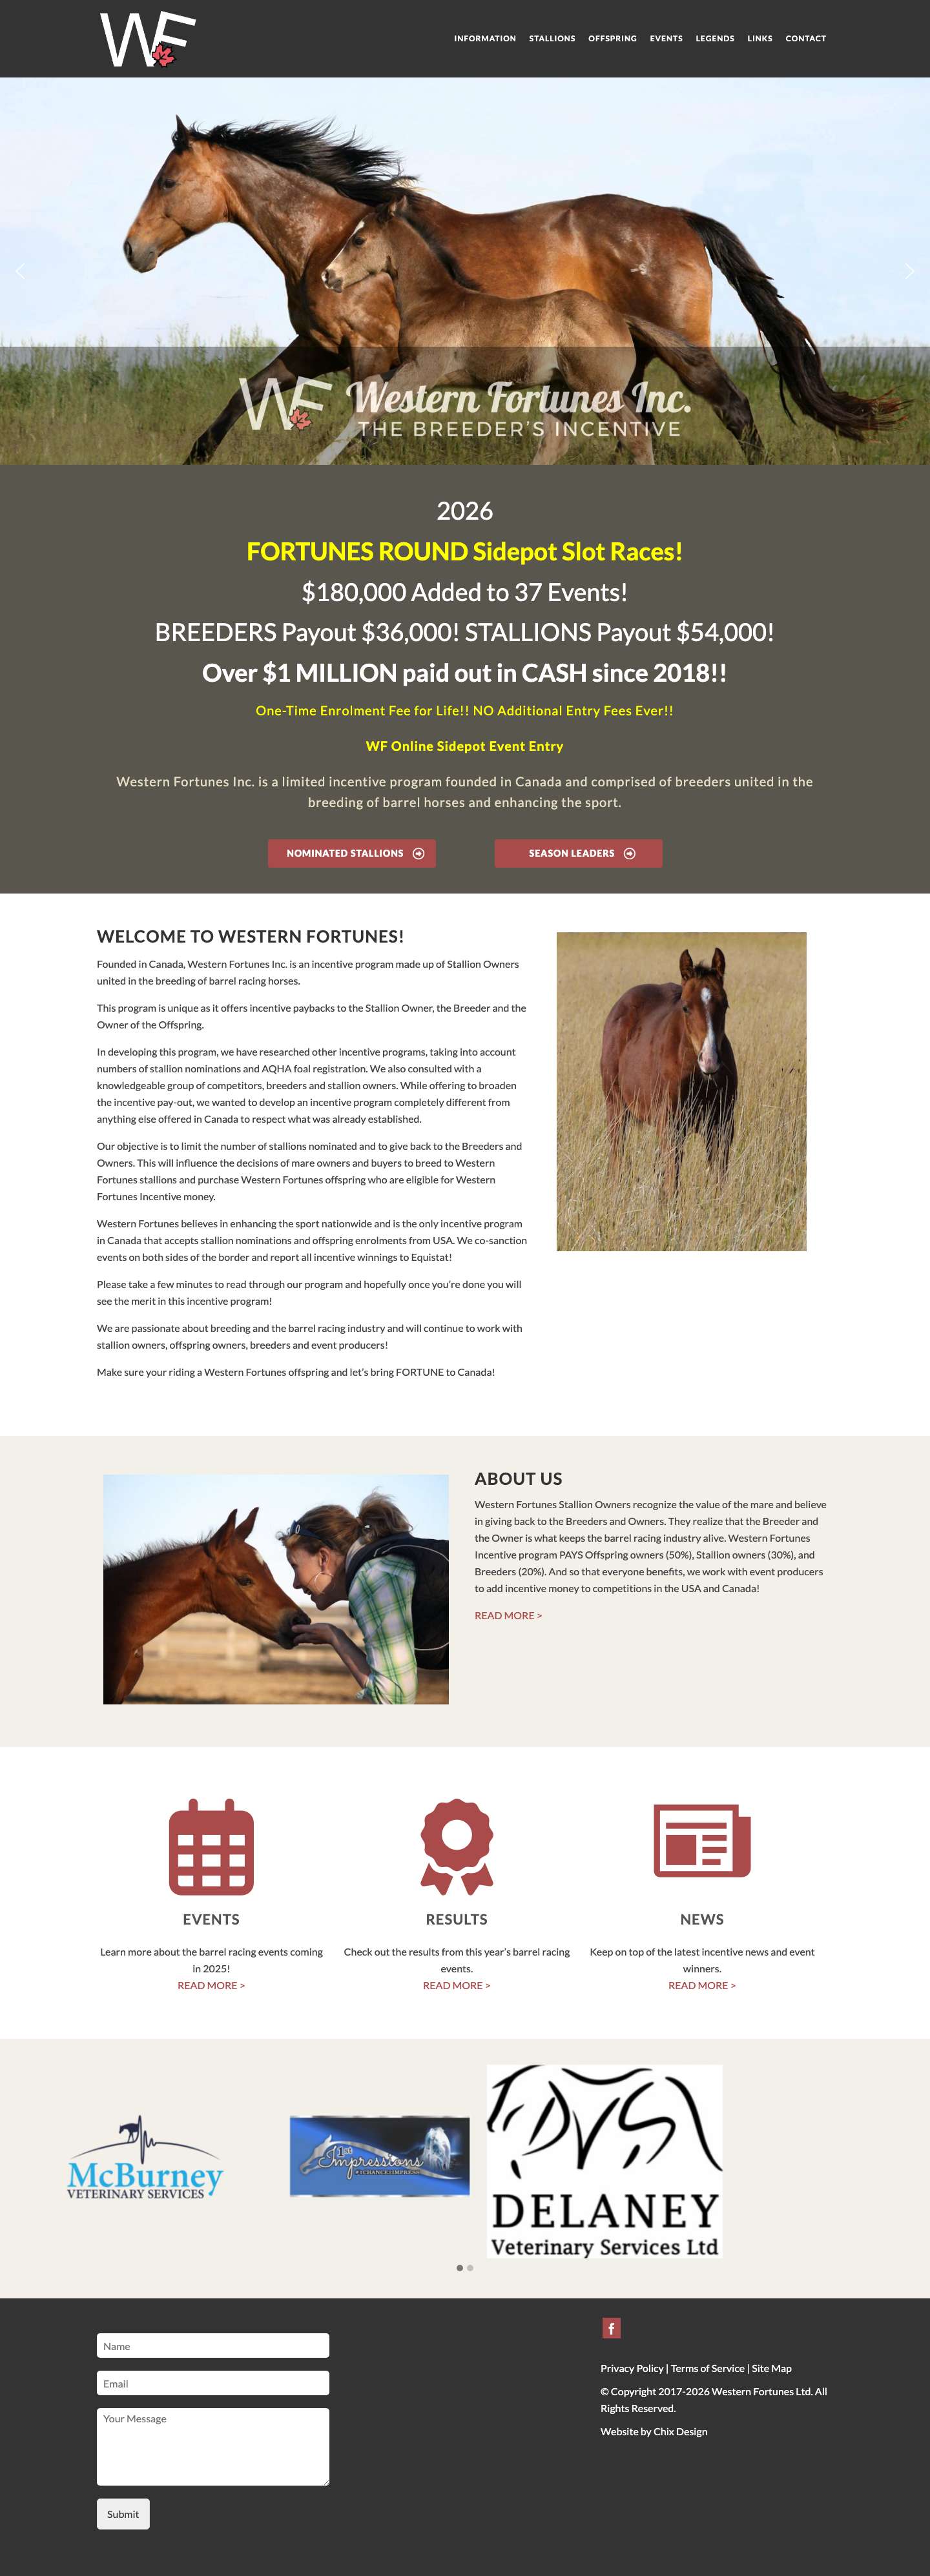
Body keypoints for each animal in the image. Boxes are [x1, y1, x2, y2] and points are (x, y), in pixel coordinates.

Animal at [322, 200, 756, 466]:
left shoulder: (425, 370)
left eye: (358, 239)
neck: (435, 299)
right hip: (562, 388)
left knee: (636, 435)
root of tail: (620, 318)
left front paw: (319, 460)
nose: (329, 276)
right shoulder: (407, 368)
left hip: (598, 390)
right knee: (557, 443)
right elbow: (369, 391)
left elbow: (369, 408)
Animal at [601, 947, 738, 1199]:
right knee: (617, 1157)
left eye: (725, 1005)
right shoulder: (672, 1125)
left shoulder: (722, 1125)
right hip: (616, 1107)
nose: (710, 1061)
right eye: (685, 1007)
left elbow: (719, 1179)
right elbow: (672, 1184)